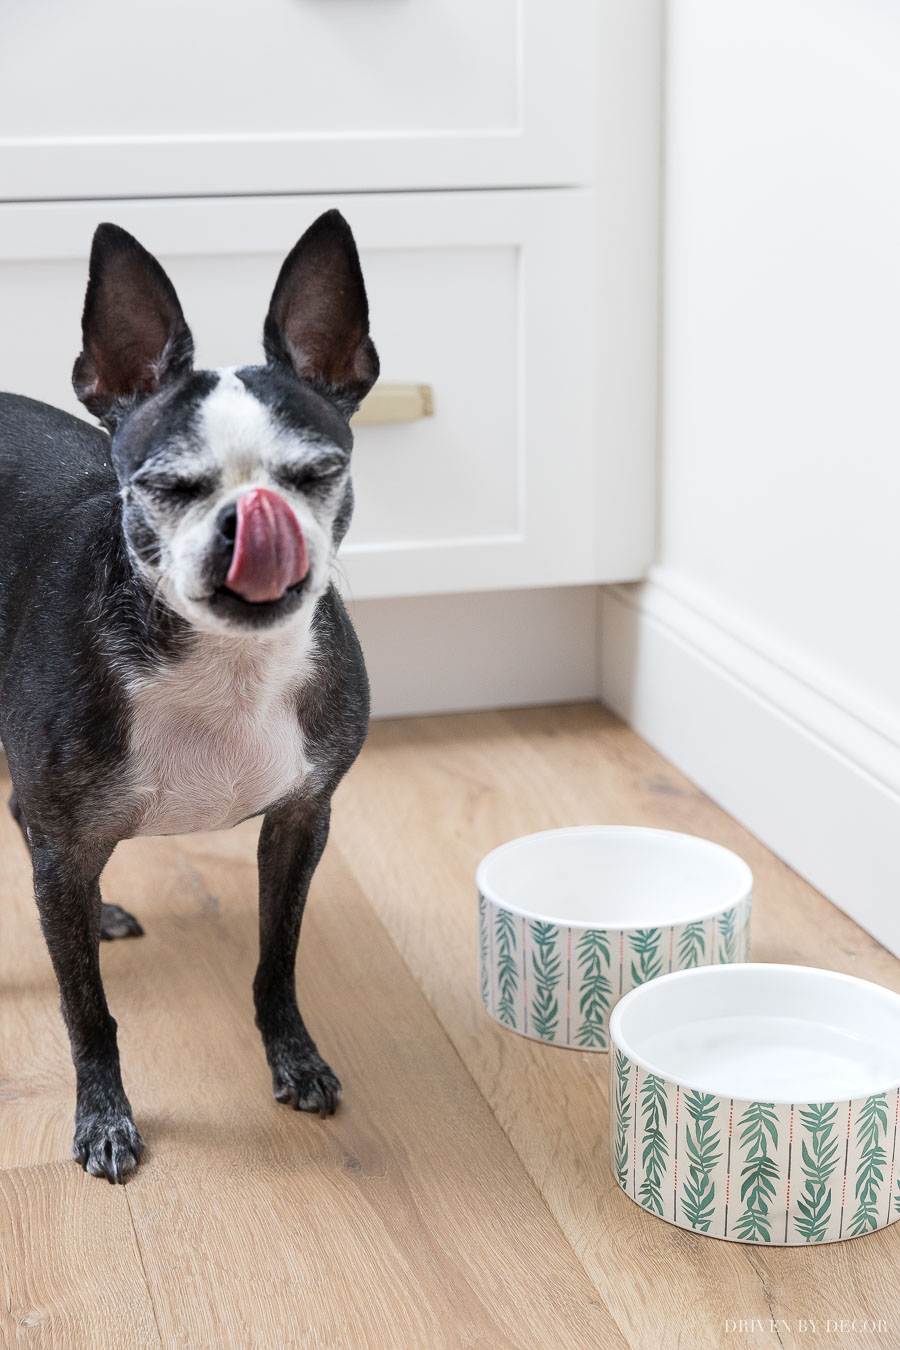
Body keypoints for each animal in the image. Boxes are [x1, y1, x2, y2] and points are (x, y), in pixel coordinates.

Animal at [0, 210, 377, 1182]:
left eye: (318, 473)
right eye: (165, 488)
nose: (253, 523)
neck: (224, 665)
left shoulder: (302, 820)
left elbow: (276, 964)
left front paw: (294, 1056)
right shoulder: (65, 839)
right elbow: (85, 1009)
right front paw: (103, 1116)